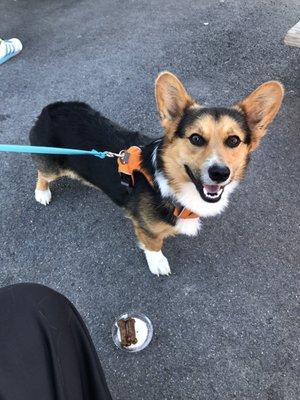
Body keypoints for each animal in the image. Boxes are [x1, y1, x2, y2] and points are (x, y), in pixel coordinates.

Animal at [29, 72, 284, 276]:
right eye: (195, 138)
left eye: (233, 141)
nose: (220, 173)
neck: (168, 183)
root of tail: (49, 108)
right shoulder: (147, 229)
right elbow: (153, 245)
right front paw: (158, 263)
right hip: (53, 166)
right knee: (42, 173)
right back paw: (42, 193)